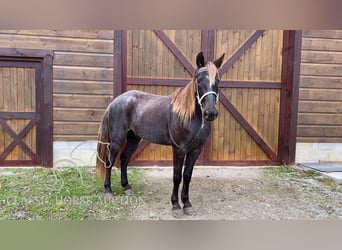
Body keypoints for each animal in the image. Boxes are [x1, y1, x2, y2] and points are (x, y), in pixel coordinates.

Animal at [96, 51, 224, 217]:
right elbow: (177, 176)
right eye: (199, 79)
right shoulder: (179, 149)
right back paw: (108, 190)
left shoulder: (195, 150)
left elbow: (187, 176)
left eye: (218, 80)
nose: (210, 113)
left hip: (133, 138)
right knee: (110, 162)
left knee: (124, 159)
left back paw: (127, 187)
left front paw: (187, 204)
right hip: (117, 140)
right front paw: (176, 206)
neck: (190, 116)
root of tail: (115, 101)